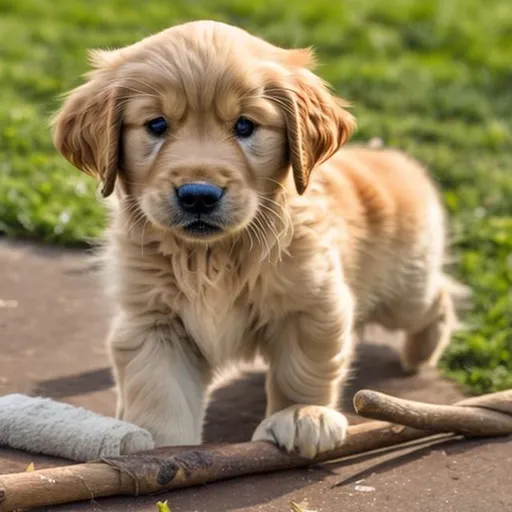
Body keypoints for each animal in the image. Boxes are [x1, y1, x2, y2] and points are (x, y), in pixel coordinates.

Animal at [53, 22, 460, 458]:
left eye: (245, 126)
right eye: (157, 125)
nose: (198, 195)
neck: (211, 256)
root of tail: (391, 157)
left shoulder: (311, 305)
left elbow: (302, 371)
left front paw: (301, 415)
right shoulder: (153, 321)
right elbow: (160, 390)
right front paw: (159, 450)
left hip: (404, 290)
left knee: (437, 298)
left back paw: (420, 353)